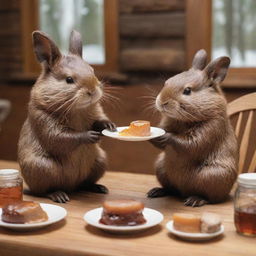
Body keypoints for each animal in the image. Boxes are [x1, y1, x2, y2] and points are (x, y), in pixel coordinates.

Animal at [18, 30, 116, 202]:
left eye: (92, 71)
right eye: (69, 79)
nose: (92, 91)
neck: (78, 109)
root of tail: (71, 187)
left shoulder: (96, 111)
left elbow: (99, 120)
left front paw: (108, 126)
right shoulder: (45, 122)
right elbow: (63, 138)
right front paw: (90, 135)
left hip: (100, 161)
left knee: (84, 184)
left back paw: (99, 188)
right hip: (41, 167)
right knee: (42, 191)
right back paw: (59, 195)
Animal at [148, 49, 238, 207]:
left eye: (188, 90)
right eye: (167, 82)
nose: (162, 102)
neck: (184, 120)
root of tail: (183, 192)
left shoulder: (210, 129)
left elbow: (187, 143)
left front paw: (164, 136)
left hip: (214, 175)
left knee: (211, 198)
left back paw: (195, 200)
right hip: (161, 167)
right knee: (171, 189)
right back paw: (157, 191)